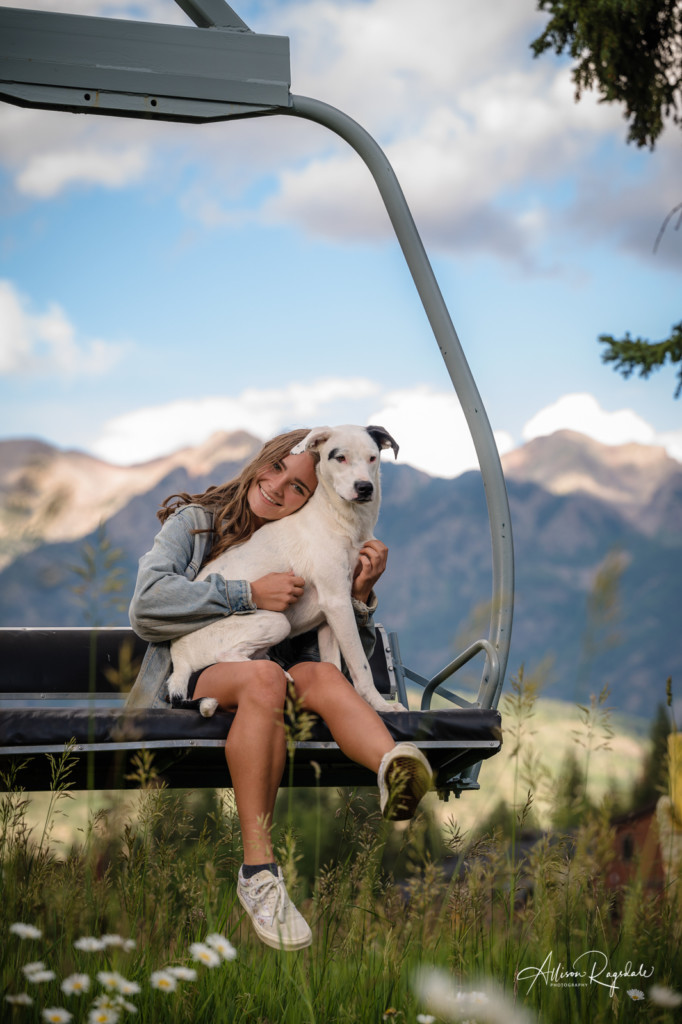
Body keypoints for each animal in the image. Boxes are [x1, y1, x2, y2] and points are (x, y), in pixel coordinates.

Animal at [167, 421, 403, 712]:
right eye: (340, 457)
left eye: (372, 457)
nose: (365, 488)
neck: (338, 516)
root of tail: (178, 659)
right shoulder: (337, 601)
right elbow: (361, 667)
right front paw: (380, 705)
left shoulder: (330, 616)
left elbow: (334, 668)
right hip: (275, 621)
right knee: (225, 653)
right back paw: (280, 672)